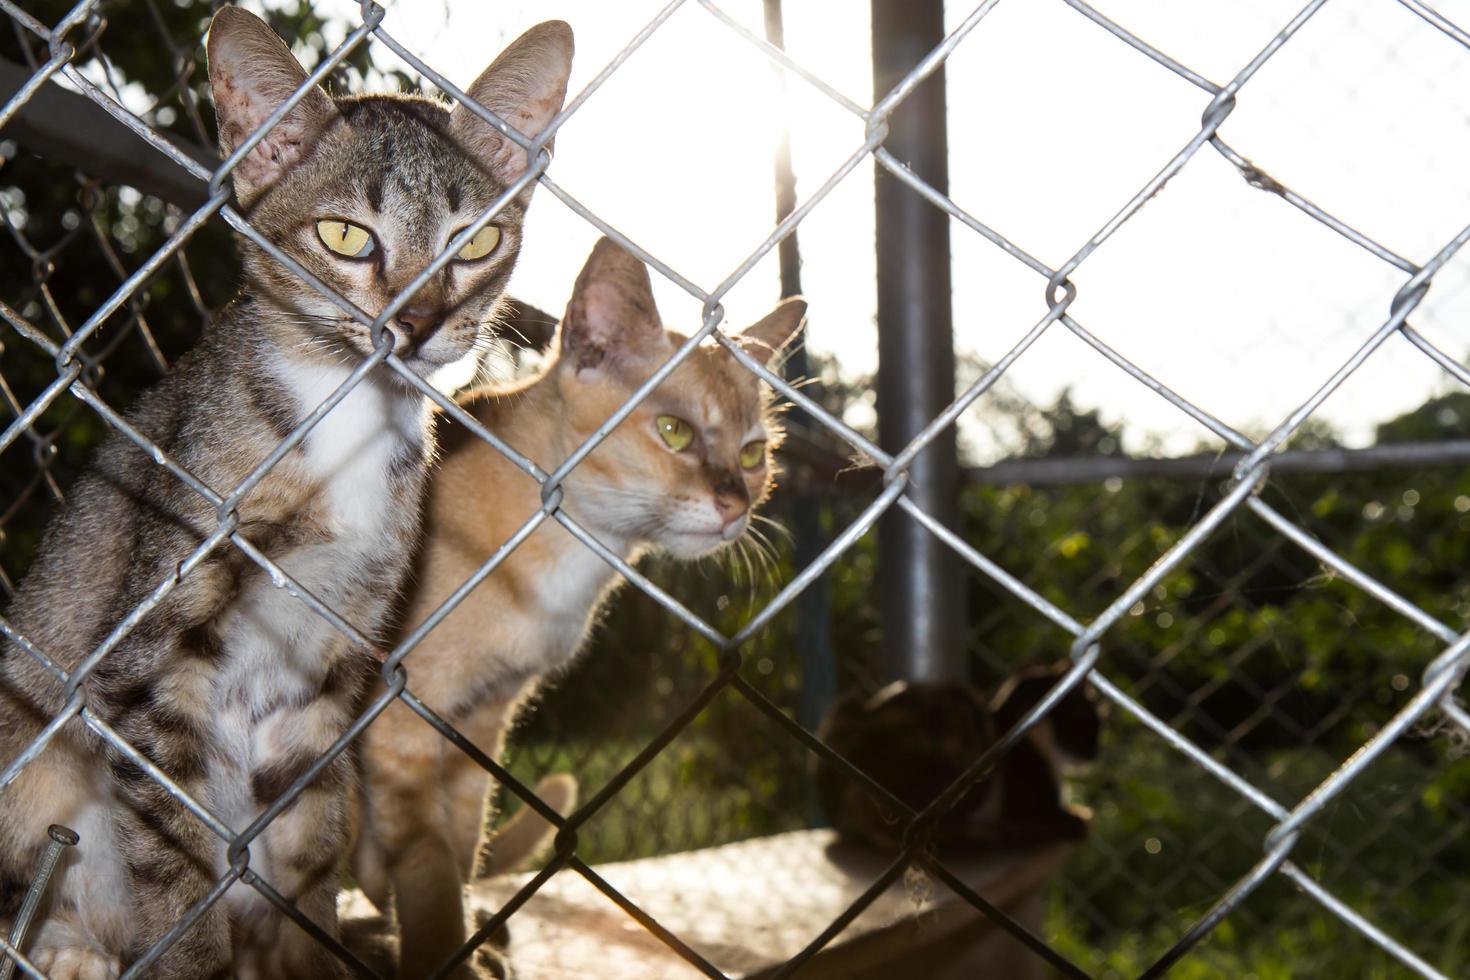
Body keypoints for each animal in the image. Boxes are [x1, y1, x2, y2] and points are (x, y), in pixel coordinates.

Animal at [0, 9, 573, 980]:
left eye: (476, 242)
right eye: (346, 236)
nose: (418, 322)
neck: (344, 426)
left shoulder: (327, 676)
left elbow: (308, 854)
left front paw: (314, 949)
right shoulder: (148, 672)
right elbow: (177, 870)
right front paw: (194, 952)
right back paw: (71, 949)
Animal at [351, 239, 811, 980]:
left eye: (754, 453)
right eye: (675, 432)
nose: (736, 506)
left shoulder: (482, 721)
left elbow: (459, 844)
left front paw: (468, 940)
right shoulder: (402, 717)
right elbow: (427, 867)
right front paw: (440, 953)